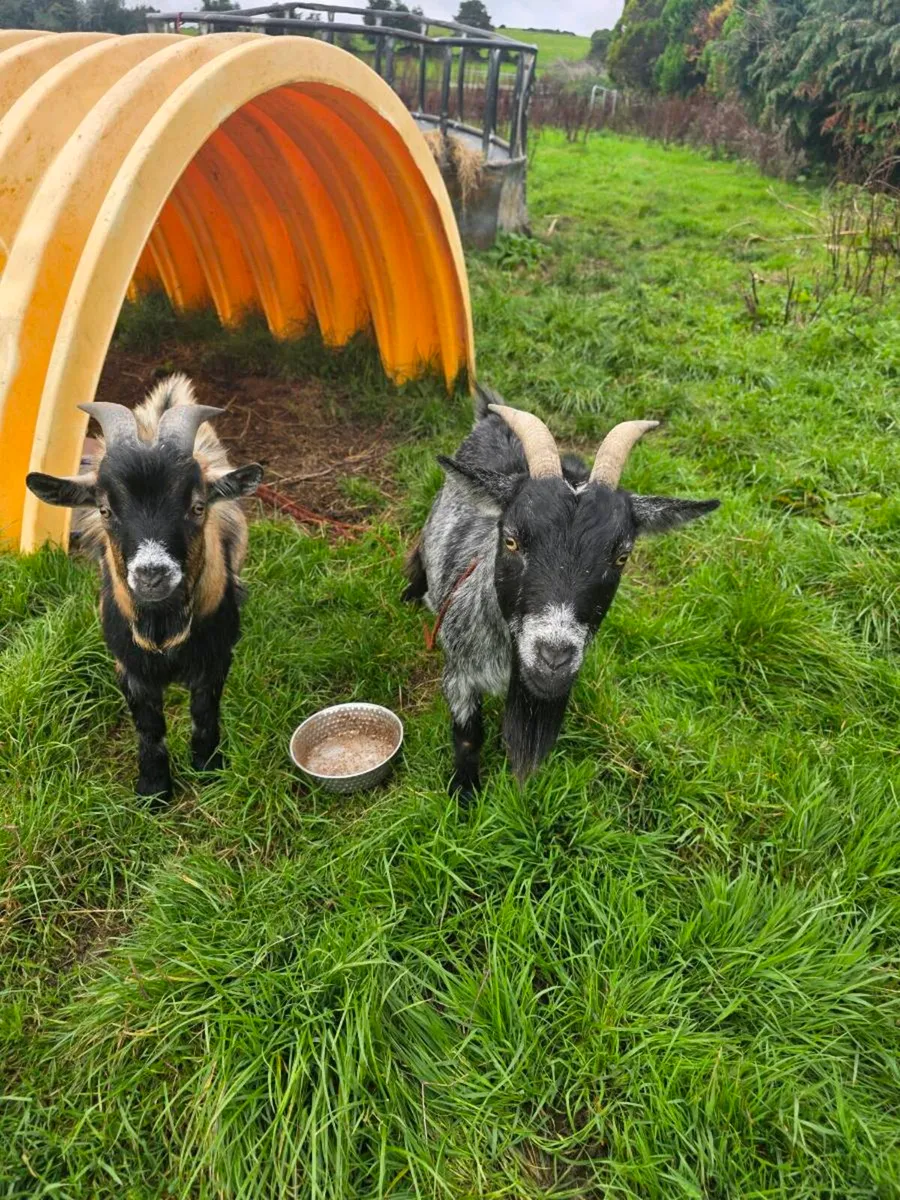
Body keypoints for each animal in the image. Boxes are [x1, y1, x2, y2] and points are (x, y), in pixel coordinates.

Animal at [26, 375, 262, 801]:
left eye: (198, 506)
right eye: (105, 510)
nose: (153, 574)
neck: (163, 629)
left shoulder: (215, 658)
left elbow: (204, 713)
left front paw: (208, 769)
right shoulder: (128, 666)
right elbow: (149, 728)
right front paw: (153, 790)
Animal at [404, 387, 720, 797]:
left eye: (622, 556)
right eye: (511, 539)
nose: (553, 657)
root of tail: (489, 415)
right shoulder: (458, 672)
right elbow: (468, 734)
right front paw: (464, 795)